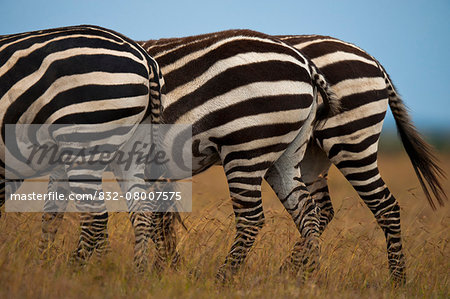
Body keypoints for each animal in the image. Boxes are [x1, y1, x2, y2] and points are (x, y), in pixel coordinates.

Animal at [0, 24, 164, 266]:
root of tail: (146, 59)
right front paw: (41, 262)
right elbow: (51, 213)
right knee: (141, 212)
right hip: (134, 149)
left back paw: (87, 270)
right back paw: (138, 271)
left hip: (83, 144)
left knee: (95, 216)